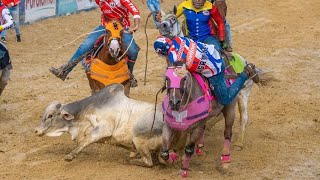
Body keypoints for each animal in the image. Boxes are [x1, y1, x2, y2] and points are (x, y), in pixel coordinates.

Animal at [35, 83, 179, 167]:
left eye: (50, 115)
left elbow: (85, 141)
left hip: (139, 138)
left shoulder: (103, 129)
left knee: (148, 162)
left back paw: (127, 160)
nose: (36, 131)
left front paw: (70, 156)